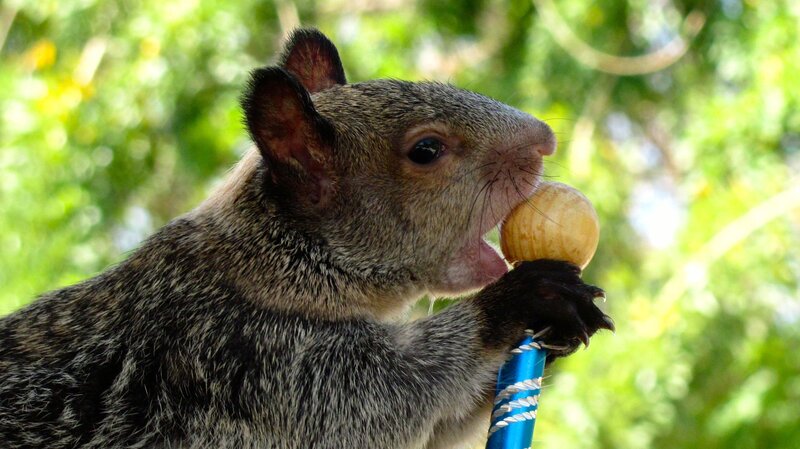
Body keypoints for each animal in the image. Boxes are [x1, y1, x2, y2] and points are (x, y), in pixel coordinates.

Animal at [0, 29, 613, 449]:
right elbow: (397, 395)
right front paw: (523, 299)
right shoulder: (252, 367)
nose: (545, 138)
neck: (261, 268)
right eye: (426, 150)